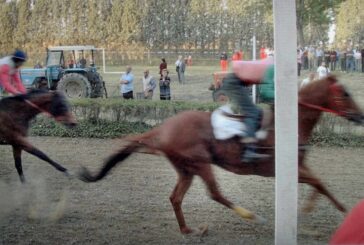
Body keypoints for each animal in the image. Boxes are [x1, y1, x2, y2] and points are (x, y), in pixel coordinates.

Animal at [78, 75, 362, 234]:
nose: (360, 116)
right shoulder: (282, 169)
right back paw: (250, 216)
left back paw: (188, 230)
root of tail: (163, 128)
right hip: (201, 162)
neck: (290, 123)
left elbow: (319, 184)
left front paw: (314, 208)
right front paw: (340, 211)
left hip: (186, 168)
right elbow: (319, 182)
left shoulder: (297, 168)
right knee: (214, 193)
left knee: (175, 197)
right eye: (346, 93)